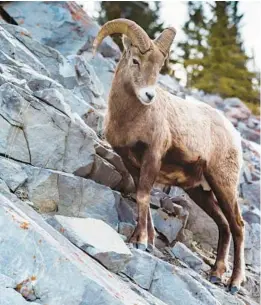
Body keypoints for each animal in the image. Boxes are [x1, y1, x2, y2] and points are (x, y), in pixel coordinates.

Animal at [93, 18, 244, 292]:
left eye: (159, 66)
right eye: (135, 61)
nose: (148, 96)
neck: (130, 119)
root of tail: (234, 135)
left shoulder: (153, 156)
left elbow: (143, 196)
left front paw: (141, 242)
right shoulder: (132, 163)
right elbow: (141, 196)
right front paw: (146, 241)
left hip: (223, 185)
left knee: (237, 226)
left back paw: (234, 283)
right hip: (200, 191)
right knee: (224, 225)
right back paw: (215, 274)